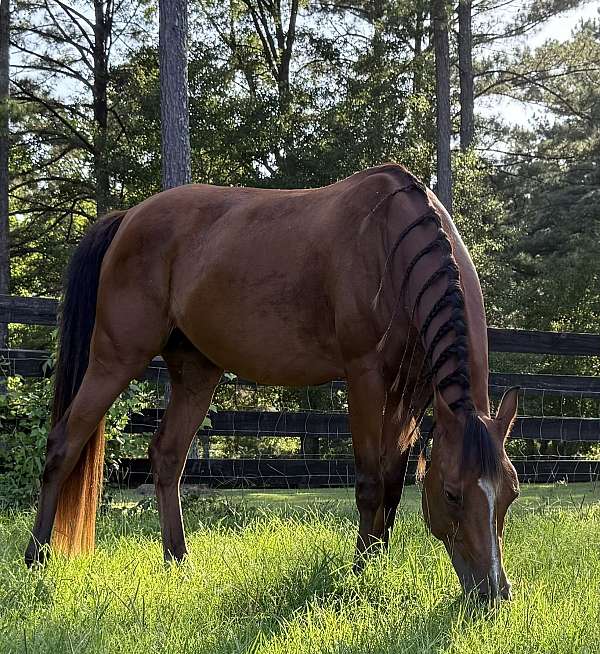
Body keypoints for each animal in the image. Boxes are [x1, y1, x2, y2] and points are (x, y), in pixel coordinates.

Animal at [25, 163, 520, 600]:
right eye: (453, 494)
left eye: (511, 494)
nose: (493, 594)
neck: (394, 248)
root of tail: (129, 217)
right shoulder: (365, 378)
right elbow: (371, 483)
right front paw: (360, 575)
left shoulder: (411, 394)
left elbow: (395, 486)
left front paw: (378, 562)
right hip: (115, 358)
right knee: (64, 443)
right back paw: (36, 560)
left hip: (196, 372)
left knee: (167, 457)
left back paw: (178, 563)